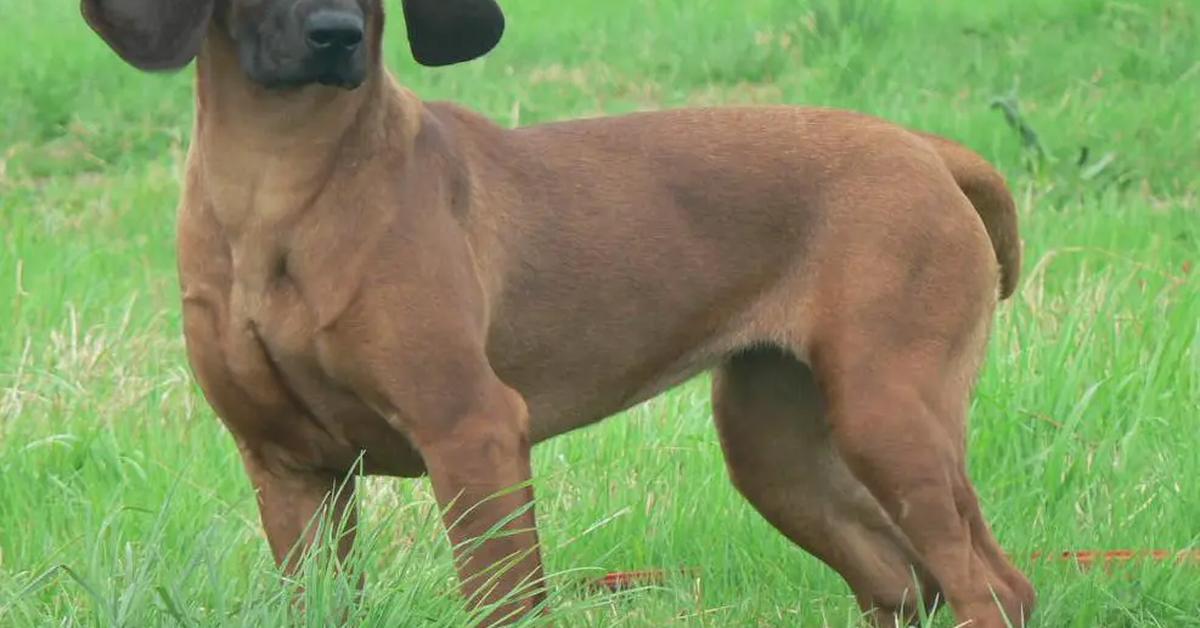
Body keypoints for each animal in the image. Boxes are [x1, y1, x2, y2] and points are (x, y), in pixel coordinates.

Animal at [84, 0, 1036, 624]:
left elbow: (504, 603)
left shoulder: (474, 437)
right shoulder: (291, 472)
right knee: (906, 584)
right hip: (780, 454)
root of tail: (926, 149)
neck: (280, 193)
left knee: (991, 588)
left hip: (889, 419)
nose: (334, 33)